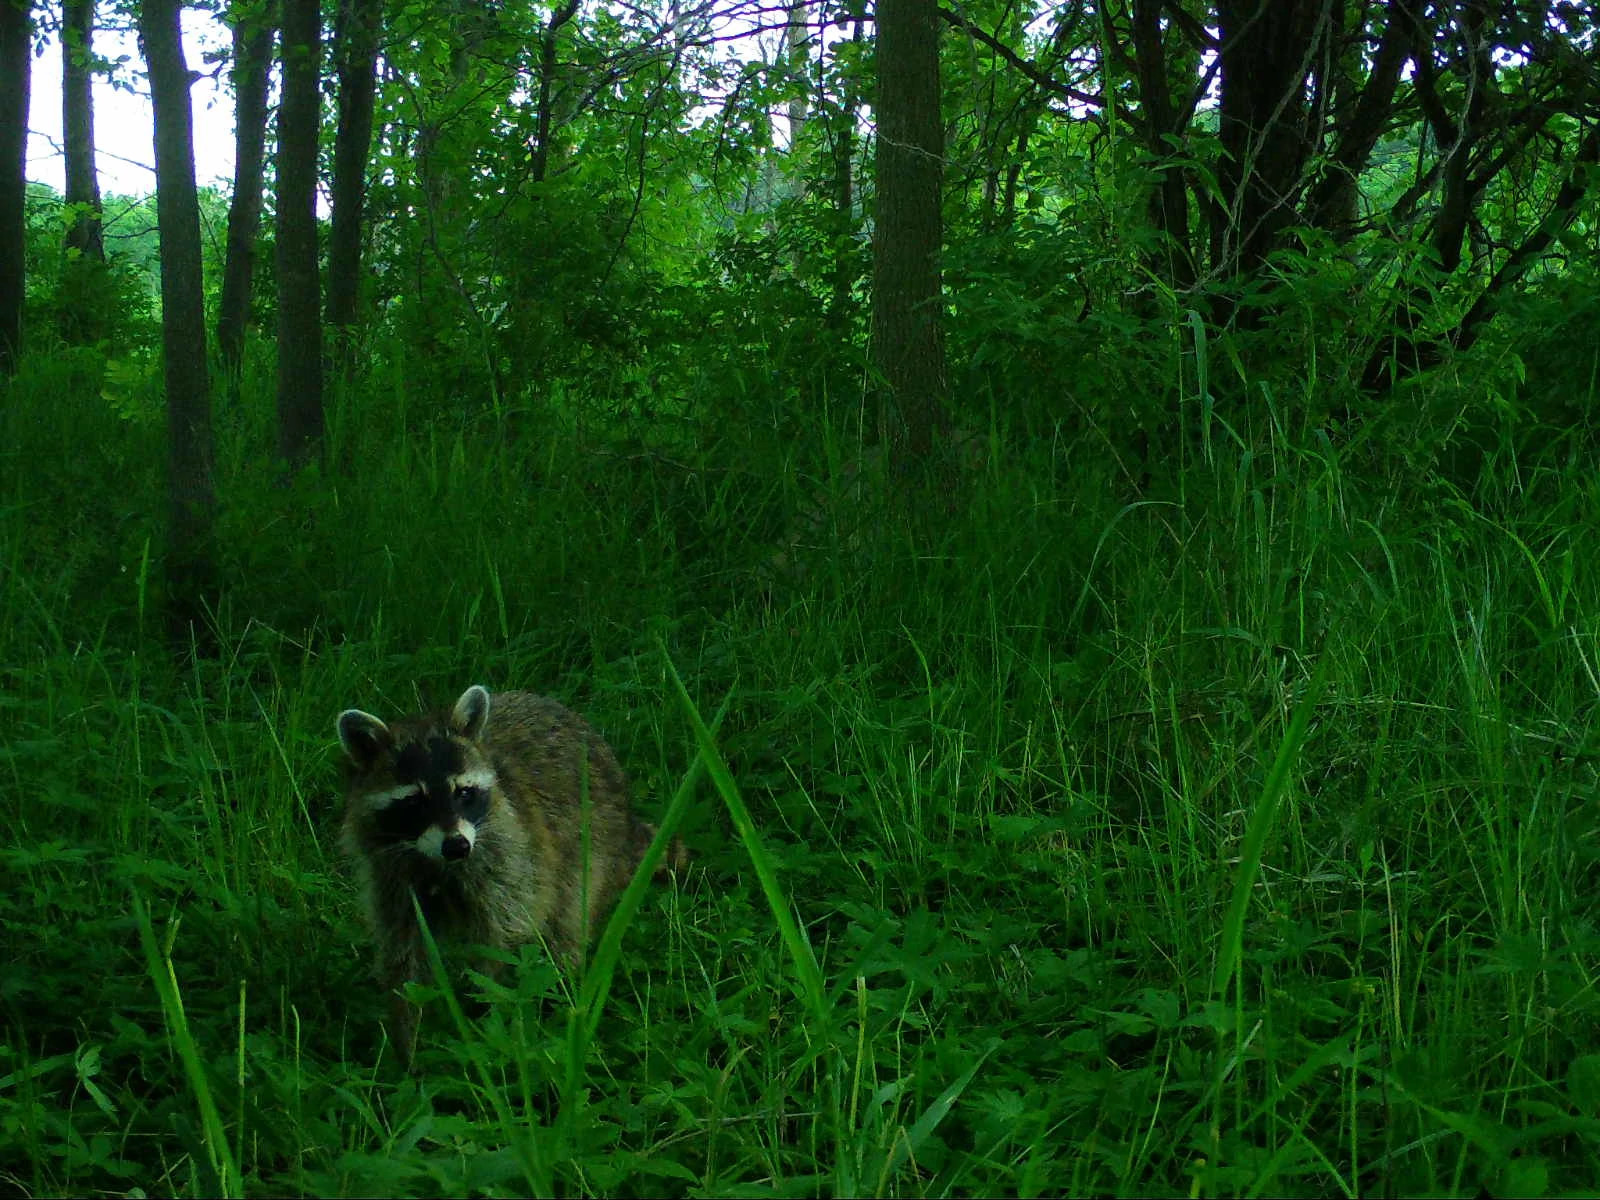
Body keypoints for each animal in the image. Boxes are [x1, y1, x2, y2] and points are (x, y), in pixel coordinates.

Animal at [336, 684, 683, 1062]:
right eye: (414, 802)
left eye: (464, 792)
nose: (456, 846)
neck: (438, 863)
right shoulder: (392, 881)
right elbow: (404, 958)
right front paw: (406, 1046)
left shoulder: (509, 859)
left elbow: (500, 944)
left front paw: (489, 1019)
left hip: (593, 845)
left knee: (566, 924)